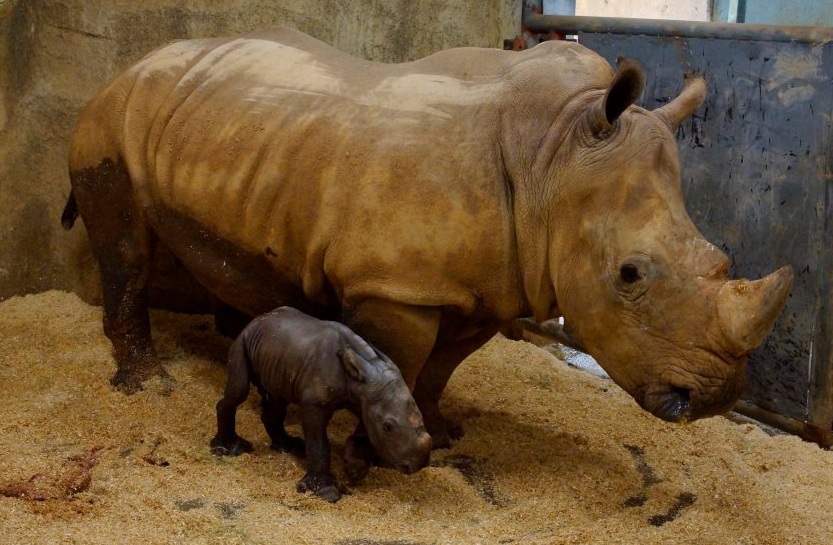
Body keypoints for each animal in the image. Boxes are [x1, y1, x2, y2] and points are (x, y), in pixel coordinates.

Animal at [62, 26, 792, 451]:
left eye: (722, 259)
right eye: (630, 275)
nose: (716, 396)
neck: (553, 153)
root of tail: (132, 63)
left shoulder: (489, 286)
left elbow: (443, 367)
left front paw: (443, 433)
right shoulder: (396, 287)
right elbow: (405, 361)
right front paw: (374, 439)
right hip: (108, 117)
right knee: (127, 252)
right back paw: (148, 383)